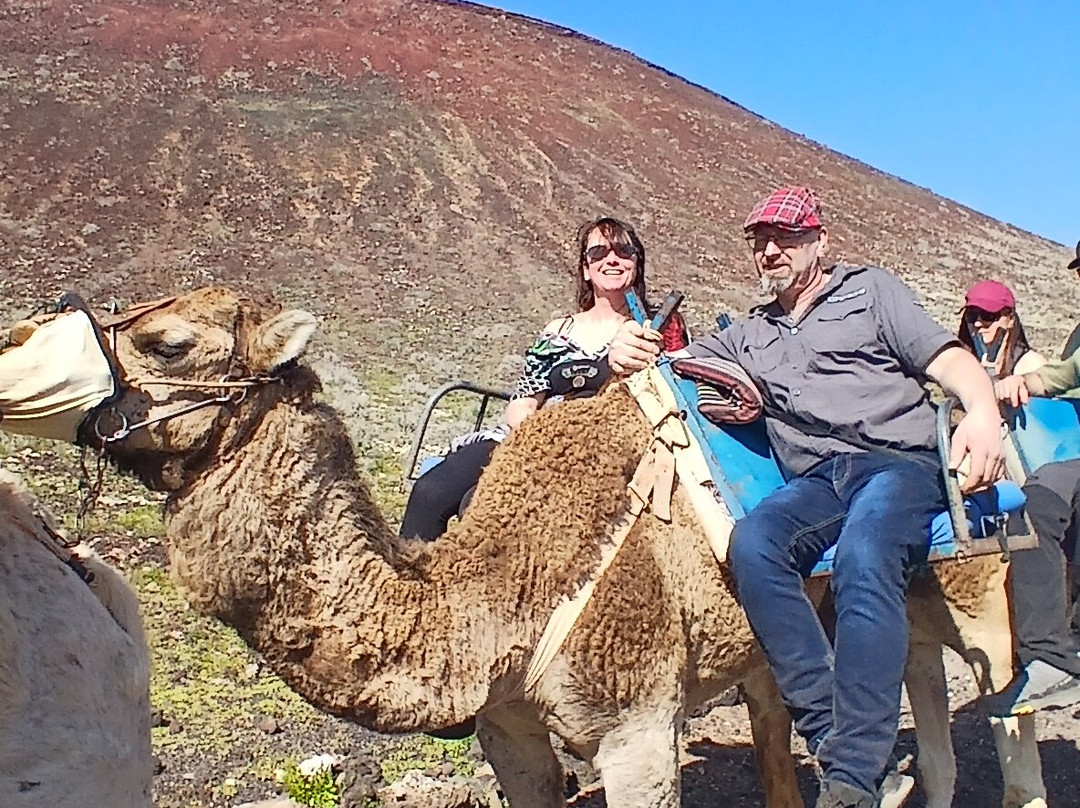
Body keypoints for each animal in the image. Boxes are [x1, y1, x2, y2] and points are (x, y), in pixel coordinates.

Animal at [90, 287, 1046, 808]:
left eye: (166, 341)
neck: (494, 596)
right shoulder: (509, 730)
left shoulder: (638, 728)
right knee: (908, 693)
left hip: (977, 581)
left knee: (1008, 703)